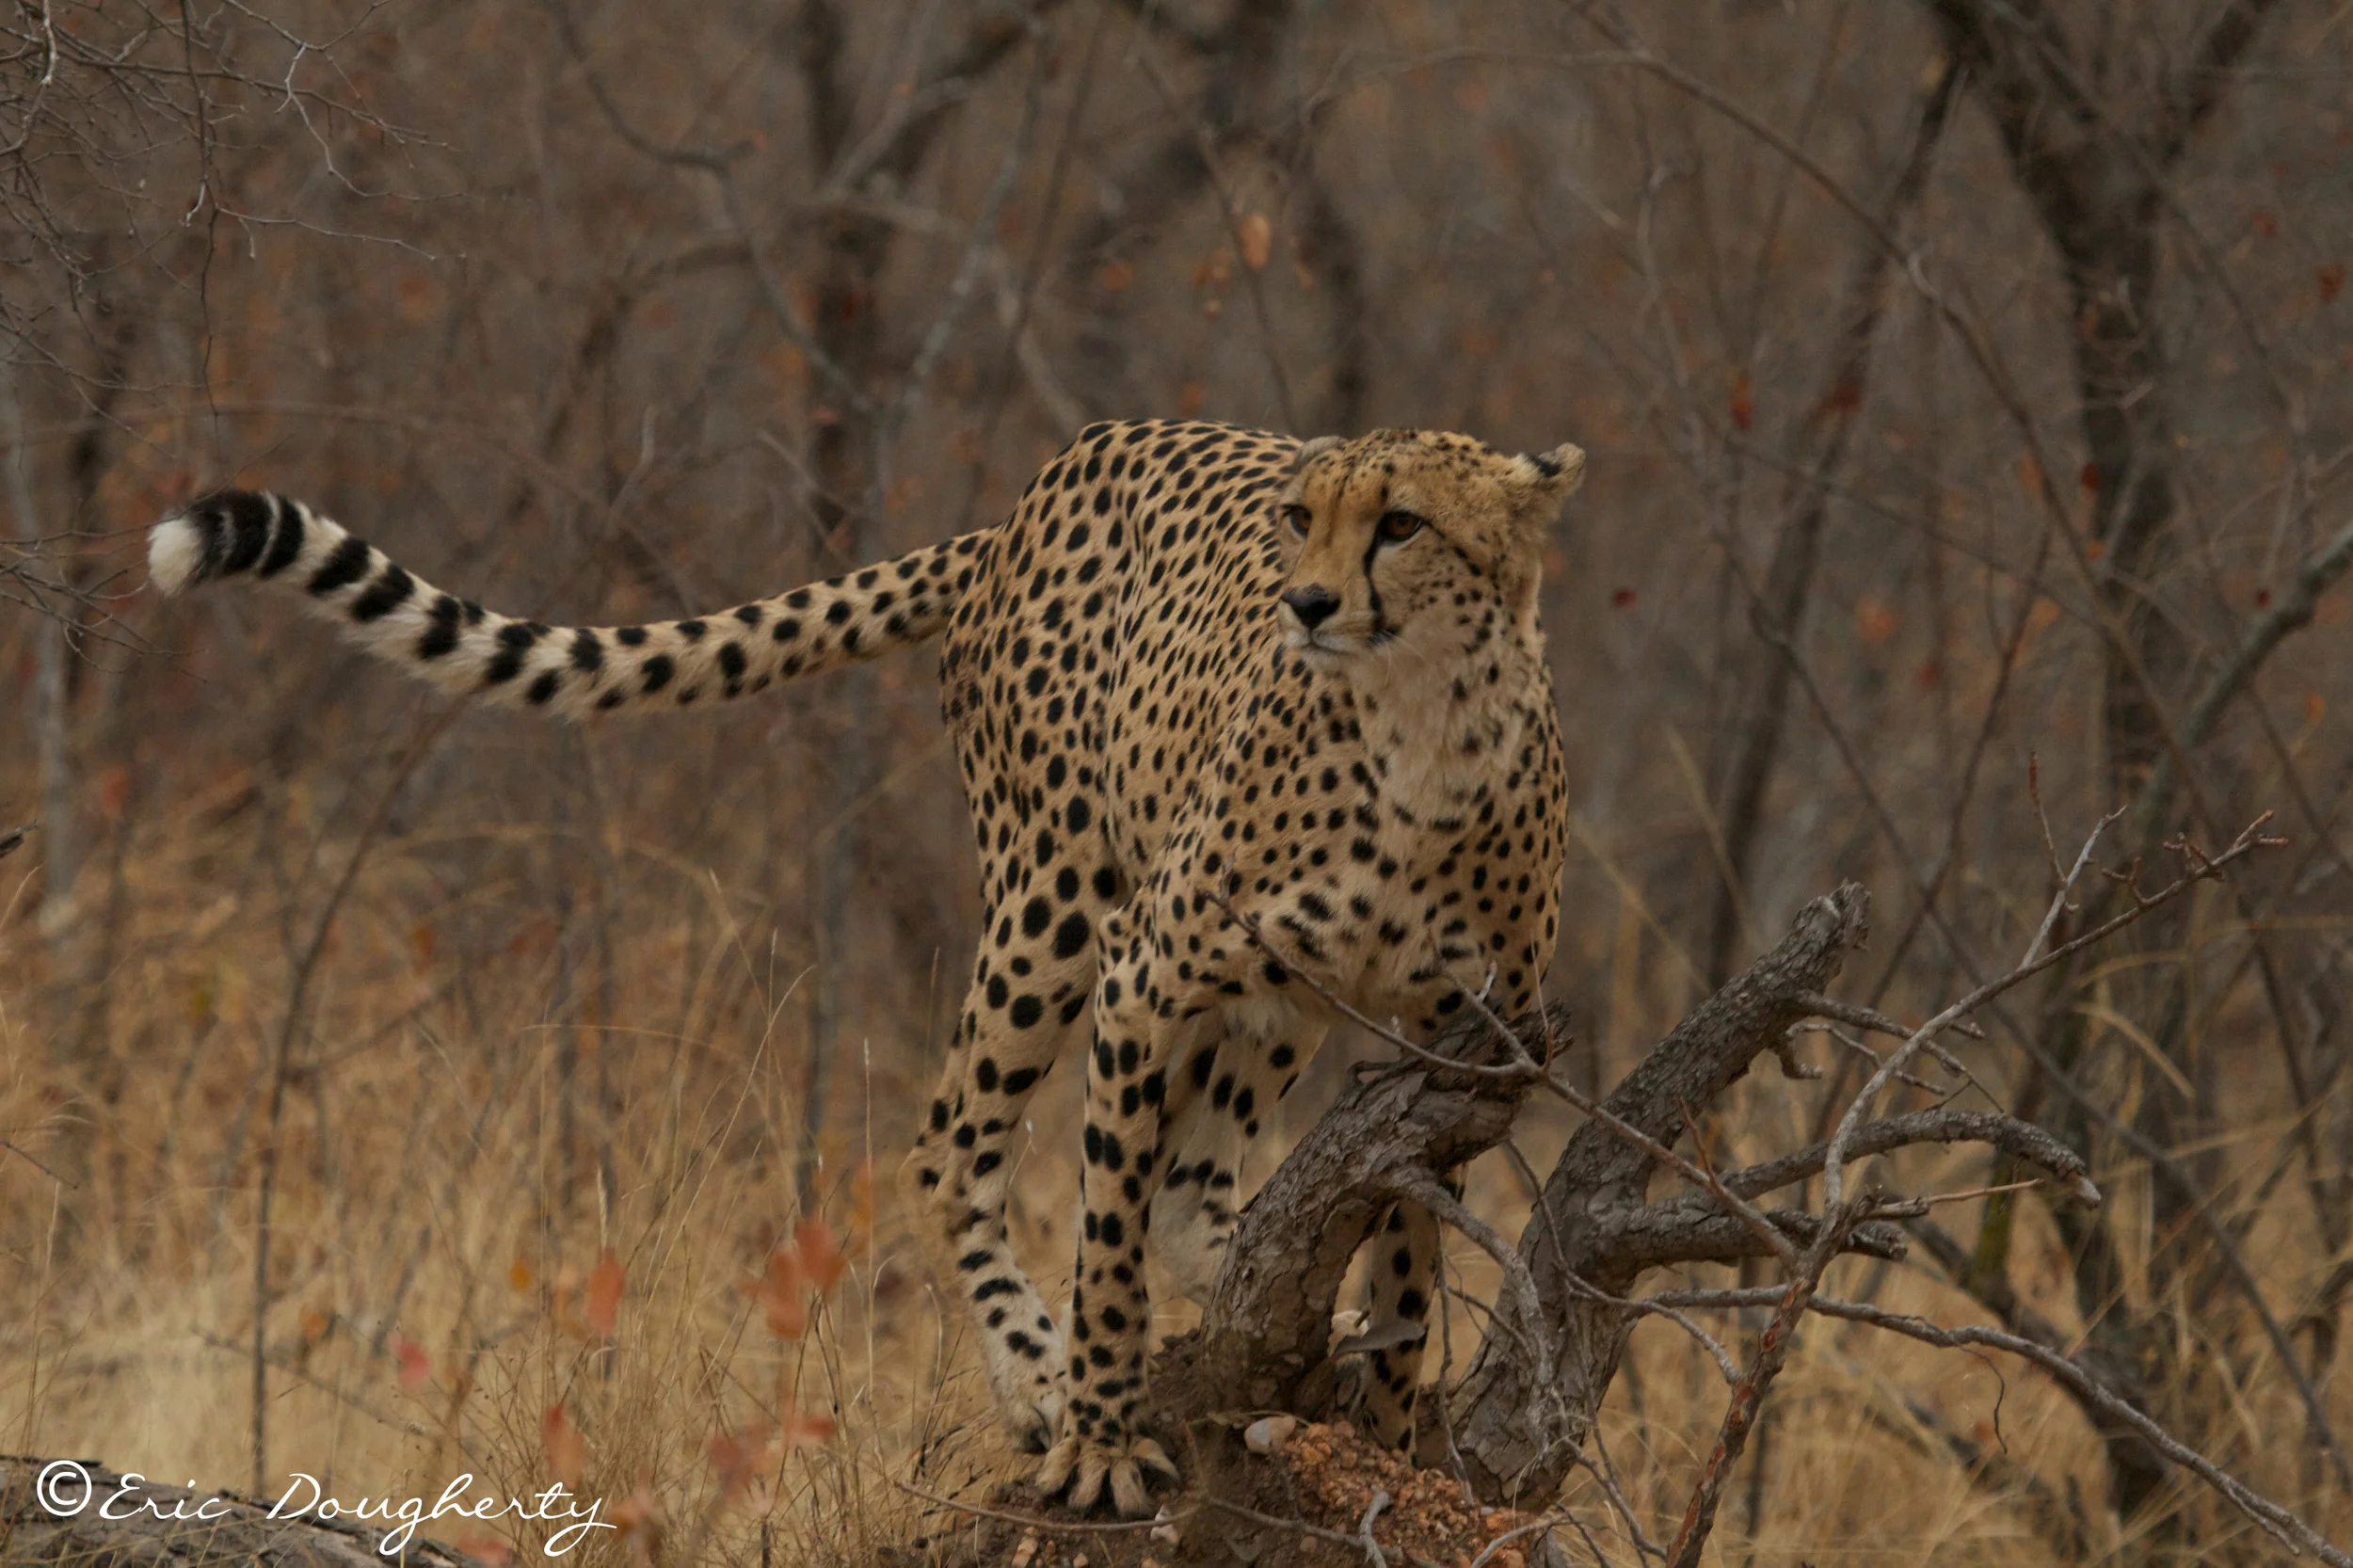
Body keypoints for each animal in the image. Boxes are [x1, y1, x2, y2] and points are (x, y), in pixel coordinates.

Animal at [146, 418, 1585, 1515]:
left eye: (1400, 523)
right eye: (1301, 517)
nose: (1308, 601)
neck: (1424, 733)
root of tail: (1043, 484)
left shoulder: (1462, 1034)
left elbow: (1405, 1226)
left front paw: (1391, 1417)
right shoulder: (1145, 970)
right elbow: (1107, 1238)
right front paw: (1100, 1434)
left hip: (1260, 993)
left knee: (1193, 1183)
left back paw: (1271, 1312)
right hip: (1055, 901)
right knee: (956, 1139)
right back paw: (1039, 1375)